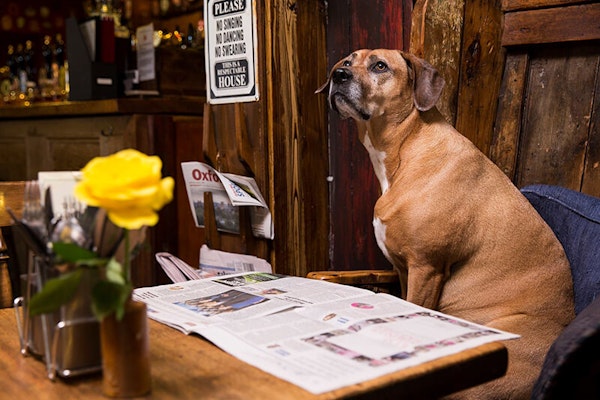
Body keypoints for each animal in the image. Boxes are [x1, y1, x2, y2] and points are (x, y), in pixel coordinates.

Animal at [318, 50, 576, 400]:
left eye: (380, 66)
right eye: (346, 60)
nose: (338, 75)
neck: (406, 148)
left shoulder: (427, 268)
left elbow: (414, 307)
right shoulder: (404, 269)